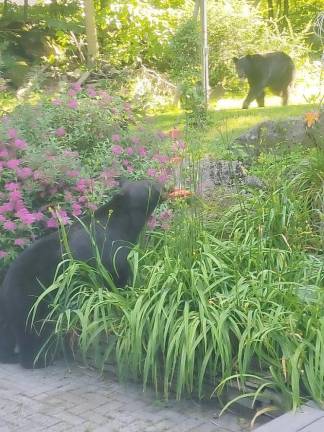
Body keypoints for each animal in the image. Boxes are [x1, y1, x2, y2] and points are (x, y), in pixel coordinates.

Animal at [0, 179, 162, 368]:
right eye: (148, 185)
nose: (162, 186)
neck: (126, 224)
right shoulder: (112, 252)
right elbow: (117, 278)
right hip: (31, 297)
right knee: (31, 330)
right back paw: (39, 359)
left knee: (6, 333)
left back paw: (9, 356)